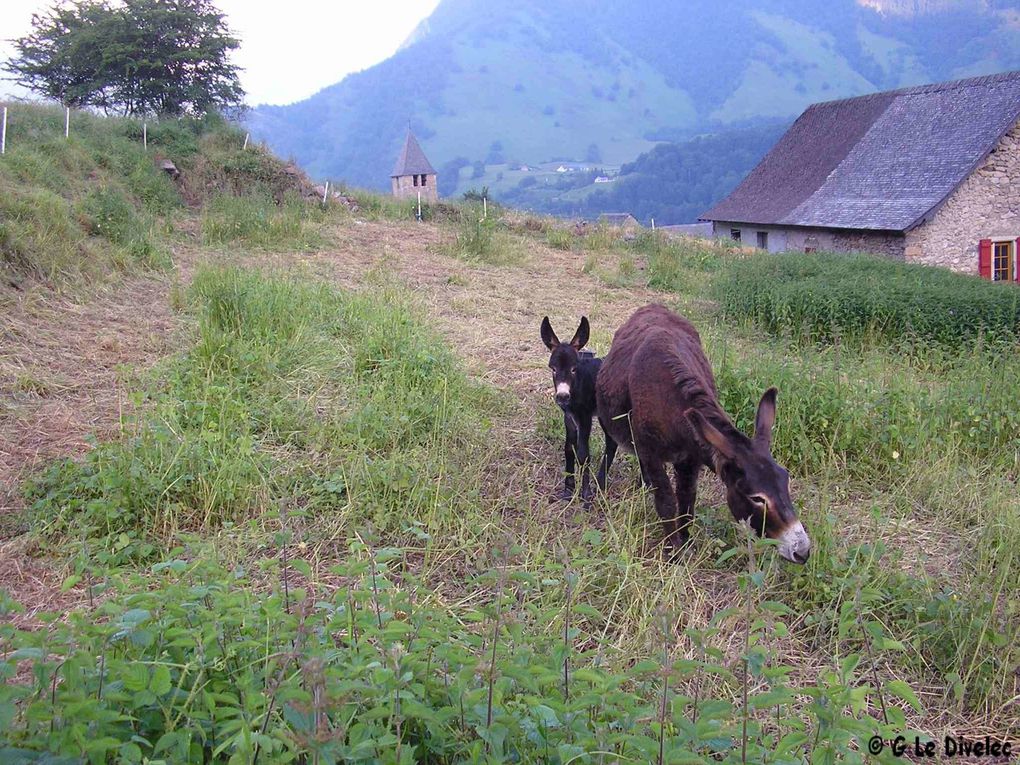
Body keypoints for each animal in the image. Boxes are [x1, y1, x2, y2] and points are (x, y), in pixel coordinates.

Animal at [546, 314, 599, 505]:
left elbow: (583, 454)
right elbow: (569, 449)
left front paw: (586, 495)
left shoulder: (585, 418)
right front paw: (568, 490)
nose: (562, 396)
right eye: (553, 368)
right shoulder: (569, 417)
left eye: (574, 368)